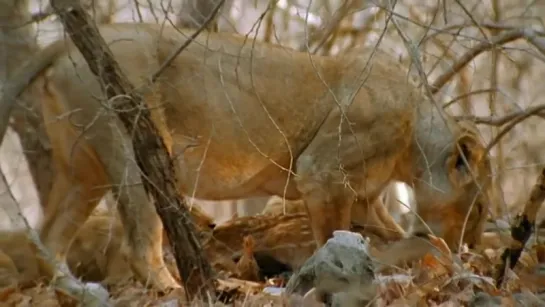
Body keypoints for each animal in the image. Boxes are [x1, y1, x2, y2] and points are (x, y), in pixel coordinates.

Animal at [0, 22, 490, 300]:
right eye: (480, 206)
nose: (469, 246)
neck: (413, 139)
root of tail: (63, 45)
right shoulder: (323, 172)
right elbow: (333, 232)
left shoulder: (366, 196)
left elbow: (384, 231)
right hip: (136, 146)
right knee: (138, 243)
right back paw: (174, 288)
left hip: (82, 173)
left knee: (50, 238)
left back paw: (73, 289)